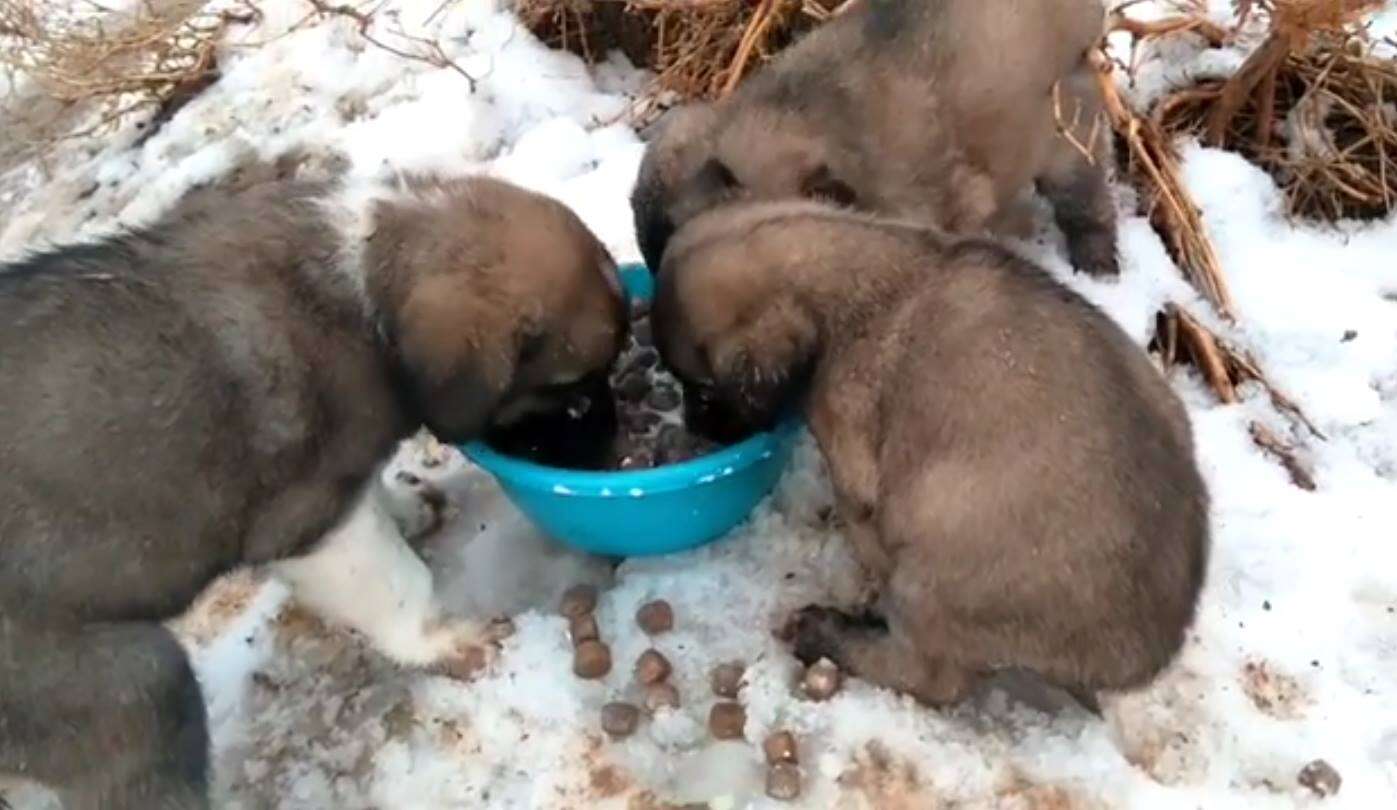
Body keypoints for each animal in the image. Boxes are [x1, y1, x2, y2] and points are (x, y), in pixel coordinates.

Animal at [0, 173, 625, 804]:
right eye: (571, 388)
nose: (611, 447)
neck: (362, 292)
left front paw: (405, 509)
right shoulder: (311, 522)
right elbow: (399, 583)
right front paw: (440, 640)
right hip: (130, 680)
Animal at [653, 201, 1212, 709]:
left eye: (704, 391)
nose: (695, 423)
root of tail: (1138, 658)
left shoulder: (857, 473)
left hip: (929, 576)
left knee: (933, 677)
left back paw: (828, 634)